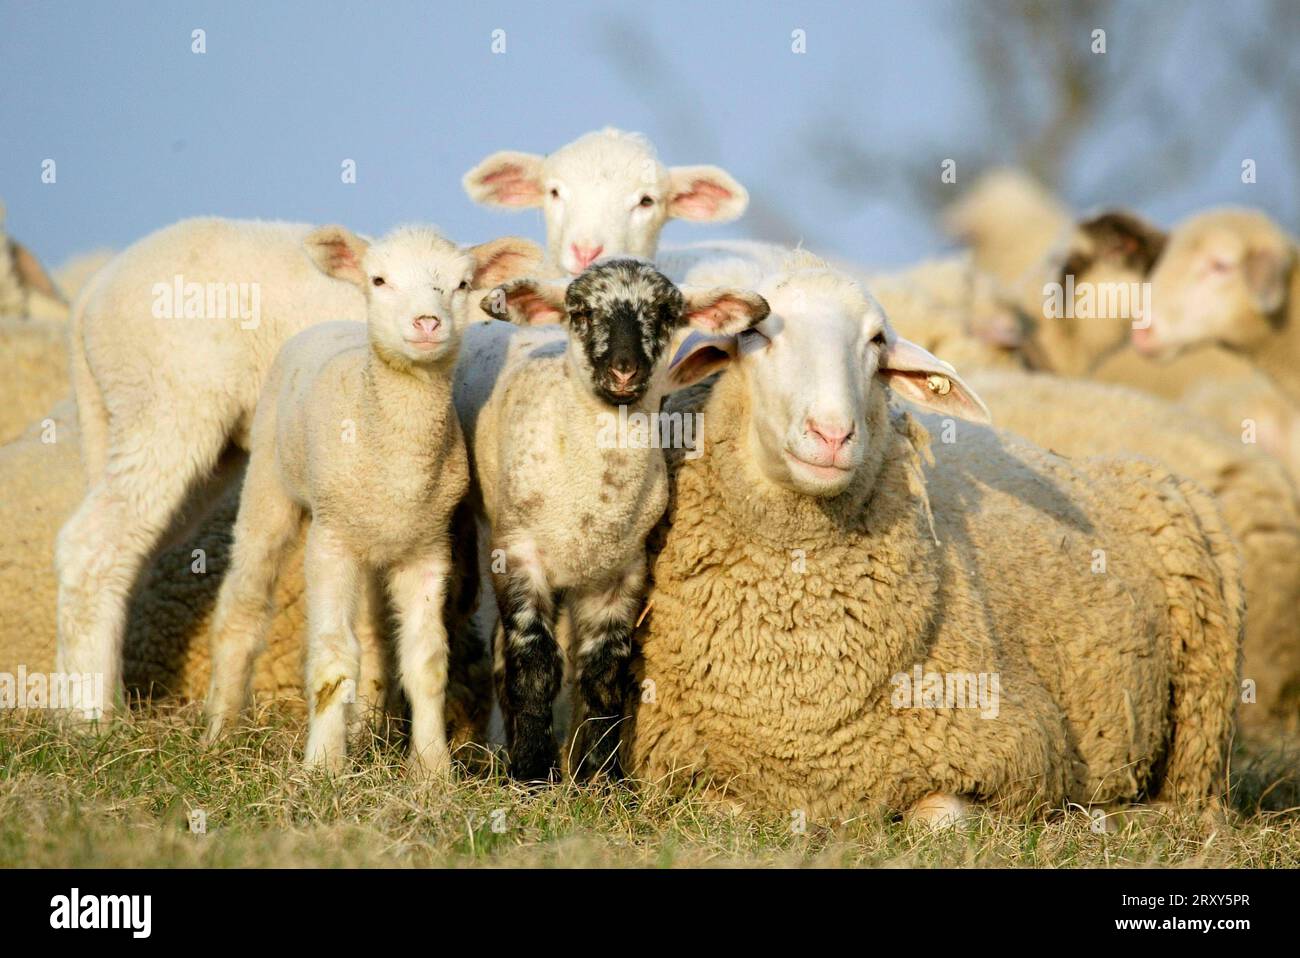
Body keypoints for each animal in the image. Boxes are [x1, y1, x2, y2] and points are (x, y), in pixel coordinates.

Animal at [53, 217, 540, 717]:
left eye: (464, 284)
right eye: (378, 280)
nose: (428, 323)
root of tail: (91, 293)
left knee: (126, 553)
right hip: (168, 405)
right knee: (91, 548)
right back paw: (91, 719)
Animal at [626, 248, 1237, 821]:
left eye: (876, 341)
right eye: (753, 334)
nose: (832, 434)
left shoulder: (1022, 748)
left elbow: (938, 817)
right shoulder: (676, 769)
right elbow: (722, 805)